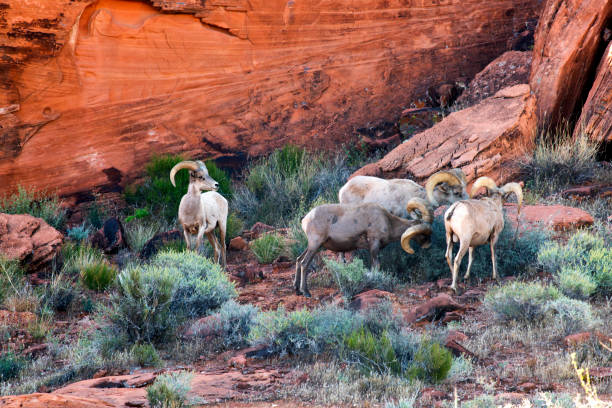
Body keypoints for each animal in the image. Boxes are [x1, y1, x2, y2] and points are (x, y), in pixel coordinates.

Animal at [296, 199, 430, 298]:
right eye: (423, 234)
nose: (427, 244)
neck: (388, 221)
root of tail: (305, 219)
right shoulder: (374, 245)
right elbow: (376, 266)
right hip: (315, 245)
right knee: (304, 263)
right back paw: (306, 293)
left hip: (313, 246)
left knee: (298, 260)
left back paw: (297, 290)